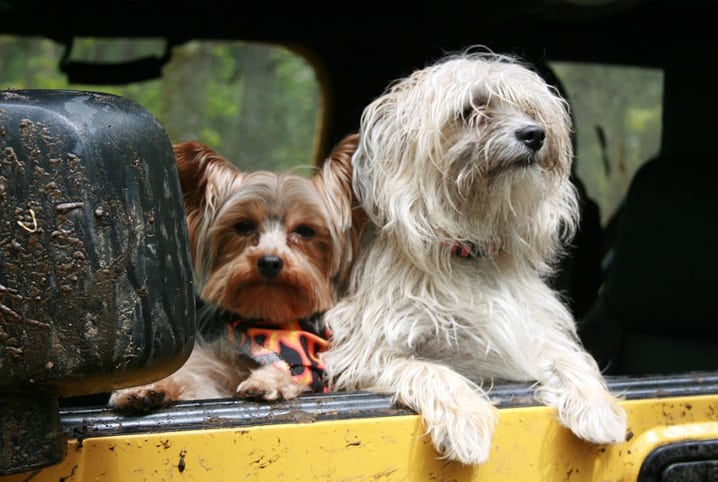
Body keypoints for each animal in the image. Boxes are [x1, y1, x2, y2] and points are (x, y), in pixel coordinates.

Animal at [322, 48, 632, 464]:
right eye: (471, 110)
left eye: (530, 109)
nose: (535, 134)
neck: (473, 249)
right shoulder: (364, 352)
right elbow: (433, 370)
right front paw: (466, 420)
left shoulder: (527, 333)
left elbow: (569, 357)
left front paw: (598, 409)